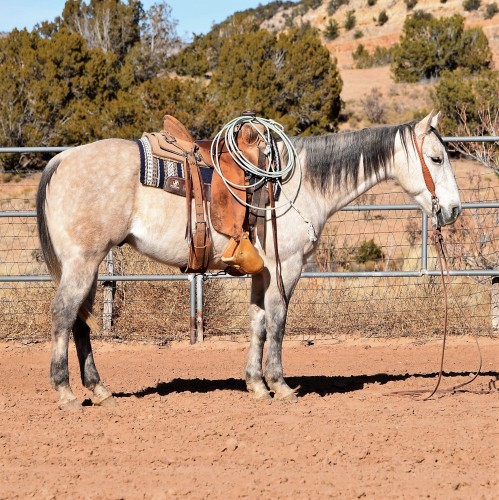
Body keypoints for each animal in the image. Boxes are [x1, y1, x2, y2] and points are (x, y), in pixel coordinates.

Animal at [37, 112, 462, 410]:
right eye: (436, 158)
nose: (454, 209)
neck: (301, 182)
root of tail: (62, 160)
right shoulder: (286, 266)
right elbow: (277, 322)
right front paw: (281, 385)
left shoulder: (263, 271)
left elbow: (257, 322)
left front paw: (256, 385)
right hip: (82, 262)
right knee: (63, 316)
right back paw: (66, 393)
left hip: (88, 265)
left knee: (79, 322)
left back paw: (99, 389)